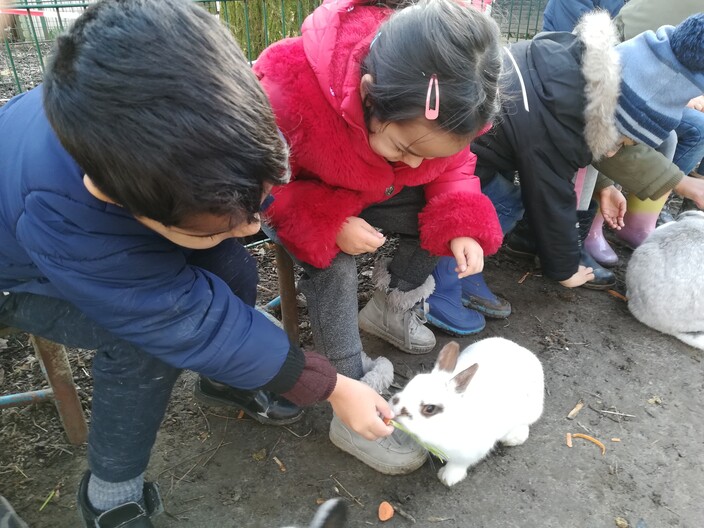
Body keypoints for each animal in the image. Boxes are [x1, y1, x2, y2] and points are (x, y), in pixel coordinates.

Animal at [388, 338, 540, 486]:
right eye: (410, 384)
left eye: (430, 408)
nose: (393, 408)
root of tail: (519, 348)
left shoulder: (471, 452)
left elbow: (458, 464)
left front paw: (447, 478)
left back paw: (513, 439)